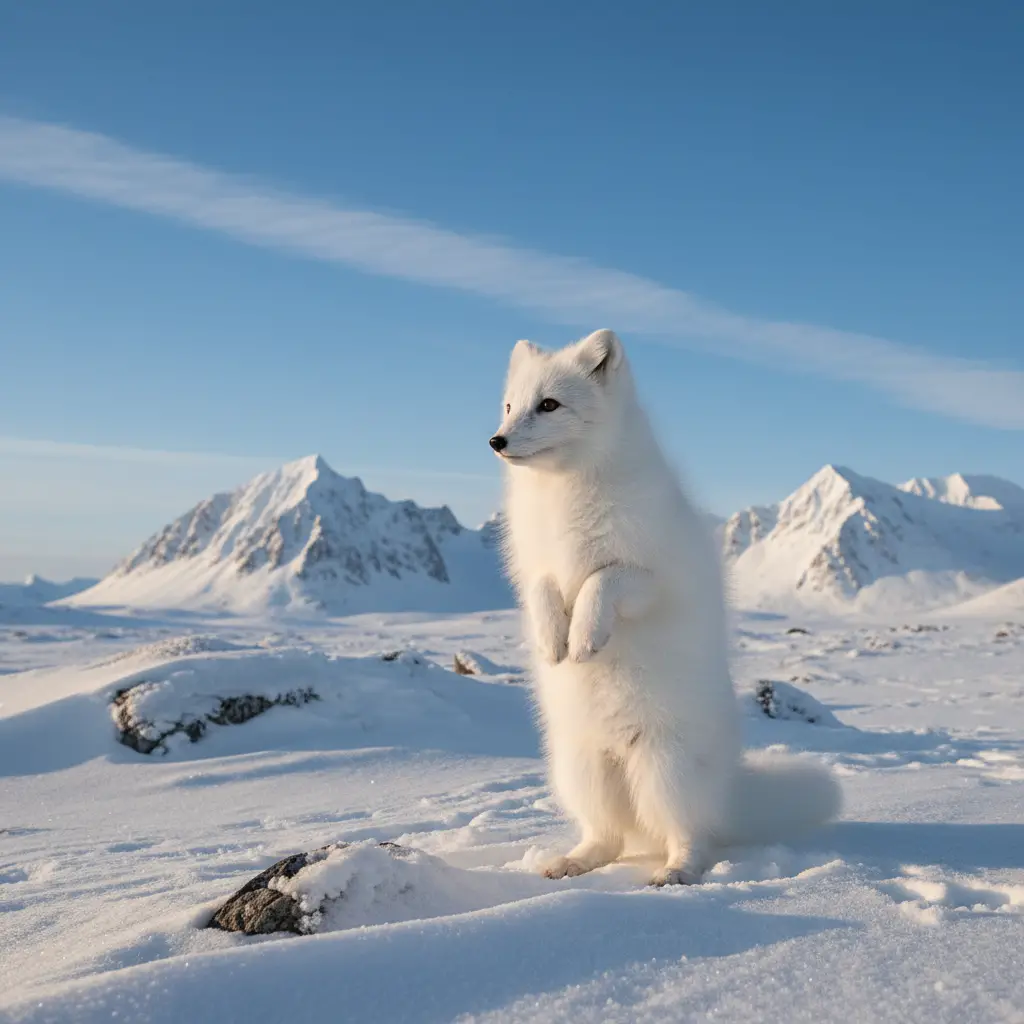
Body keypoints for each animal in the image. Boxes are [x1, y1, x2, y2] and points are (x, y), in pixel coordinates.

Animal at [491, 329, 842, 885]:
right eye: (509, 405)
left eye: (549, 405)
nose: (496, 440)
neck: (565, 496)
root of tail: (727, 793)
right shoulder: (536, 566)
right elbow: (544, 591)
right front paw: (552, 643)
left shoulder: (653, 578)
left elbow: (602, 580)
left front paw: (584, 638)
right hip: (582, 770)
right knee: (608, 837)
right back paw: (574, 861)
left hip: (665, 770)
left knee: (690, 832)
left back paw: (676, 871)